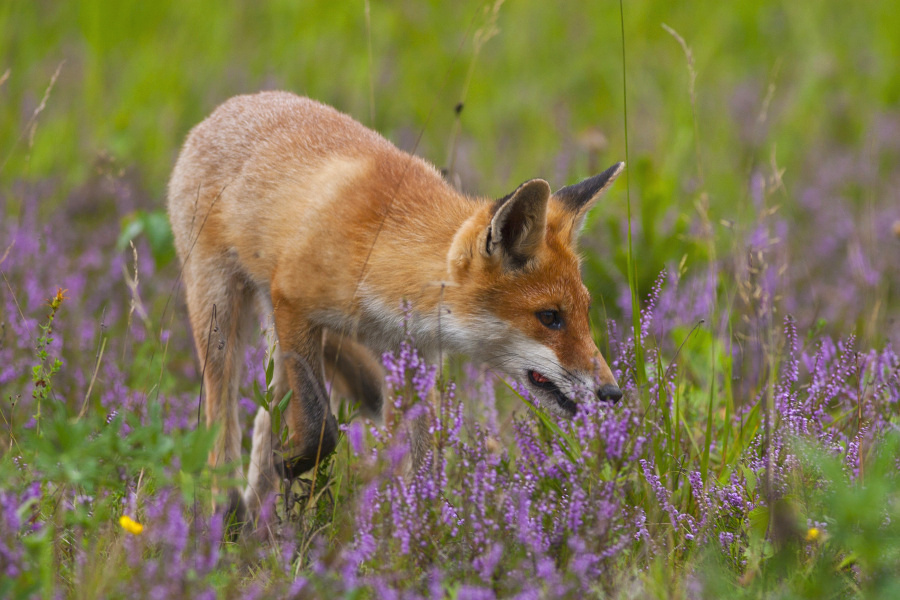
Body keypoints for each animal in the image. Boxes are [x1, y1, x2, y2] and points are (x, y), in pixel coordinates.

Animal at [165, 90, 624, 524]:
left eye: (584, 311)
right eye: (550, 317)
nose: (612, 393)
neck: (385, 256)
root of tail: (232, 106)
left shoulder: (412, 357)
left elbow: (415, 464)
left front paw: (413, 533)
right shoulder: (293, 302)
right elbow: (320, 425)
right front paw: (295, 465)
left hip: (274, 341)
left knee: (266, 416)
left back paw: (260, 528)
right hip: (221, 315)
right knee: (221, 424)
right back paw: (229, 519)